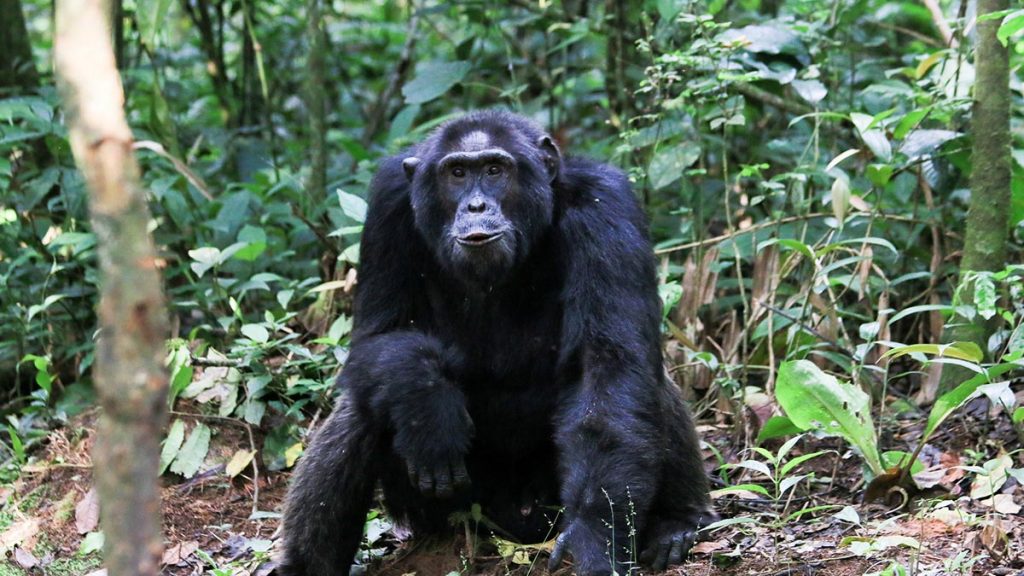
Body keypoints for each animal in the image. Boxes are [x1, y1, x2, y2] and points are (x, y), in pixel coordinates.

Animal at [278, 109, 712, 569]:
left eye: (493, 170)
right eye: (456, 173)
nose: (476, 204)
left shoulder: (607, 206)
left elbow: (608, 364)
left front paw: (594, 537)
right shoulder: (388, 204)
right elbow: (379, 334)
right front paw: (427, 405)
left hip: (541, 509)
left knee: (645, 386)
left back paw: (676, 523)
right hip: (444, 510)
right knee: (361, 407)